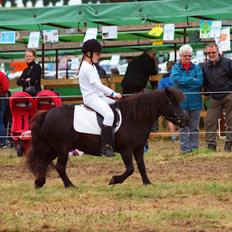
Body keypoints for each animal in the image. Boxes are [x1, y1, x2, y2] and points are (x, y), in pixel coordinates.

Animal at [26, 87, 188, 188]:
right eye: (172, 102)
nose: (185, 120)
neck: (133, 118)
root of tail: (47, 113)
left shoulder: (138, 148)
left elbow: (141, 166)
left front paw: (147, 183)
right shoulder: (126, 150)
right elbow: (130, 169)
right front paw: (114, 180)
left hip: (53, 148)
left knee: (43, 163)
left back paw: (39, 182)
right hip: (62, 149)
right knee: (59, 167)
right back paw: (70, 185)